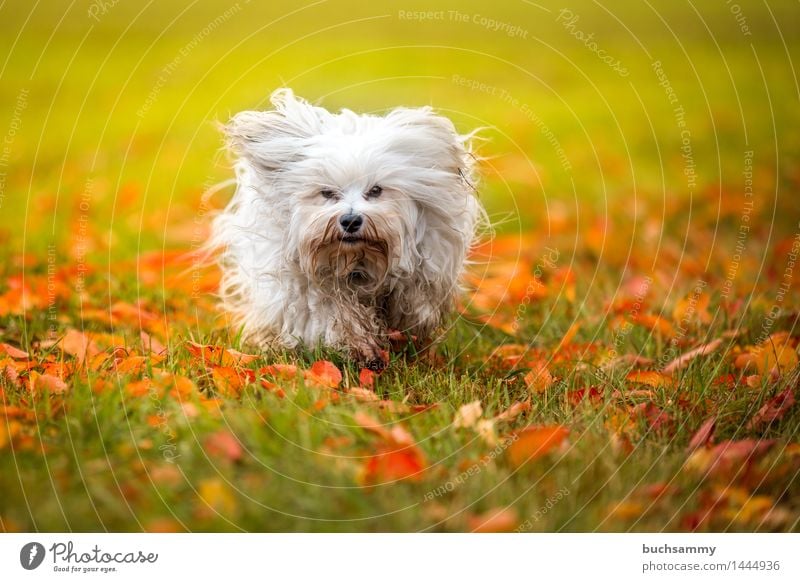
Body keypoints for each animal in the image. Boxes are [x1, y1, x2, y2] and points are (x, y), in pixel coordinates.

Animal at [211, 89, 482, 372]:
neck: (357, 260)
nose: (350, 220)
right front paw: (362, 350)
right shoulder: (309, 285)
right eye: (327, 193)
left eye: (376, 190)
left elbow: (412, 305)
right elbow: (333, 314)